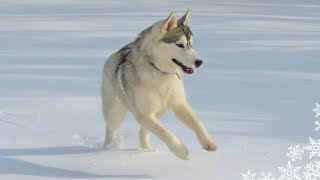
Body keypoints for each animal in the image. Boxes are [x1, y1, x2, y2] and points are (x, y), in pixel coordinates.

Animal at [102, 10, 218, 159]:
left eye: (191, 44)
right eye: (179, 45)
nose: (199, 62)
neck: (159, 73)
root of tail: (120, 51)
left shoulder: (178, 103)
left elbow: (197, 123)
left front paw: (208, 142)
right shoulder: (145, 114)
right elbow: (165, 133)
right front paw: (182, 152)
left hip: (160, 111)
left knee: (143, 131)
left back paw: (147, 150)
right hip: (115, 113)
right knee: (111, 128)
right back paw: (108, 148)